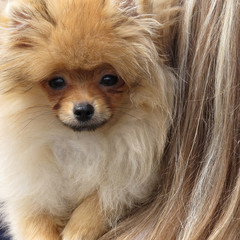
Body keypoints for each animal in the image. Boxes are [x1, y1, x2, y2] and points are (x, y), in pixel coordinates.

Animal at [0, 0, 175, 240]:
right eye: (56, 82)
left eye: (109, 79)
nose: (83, 109)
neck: (81, 141)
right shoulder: (32, 188)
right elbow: (36, 223)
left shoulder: (132, 177)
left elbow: (99, 202)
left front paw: (77, 230)